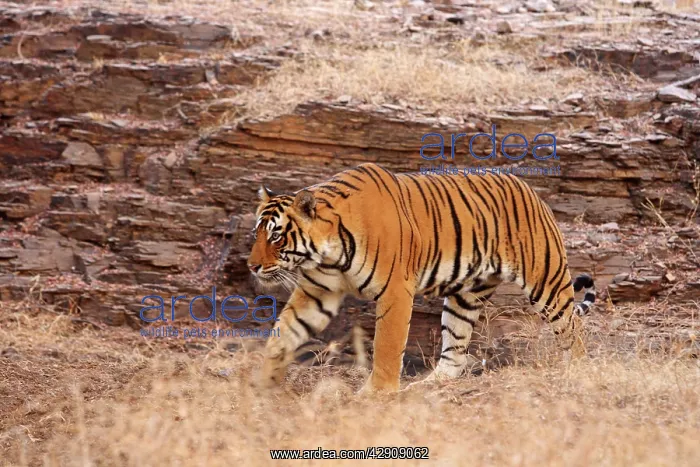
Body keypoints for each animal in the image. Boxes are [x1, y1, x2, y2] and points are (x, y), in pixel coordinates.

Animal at [247, 162, 596, 393]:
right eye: (257, 234)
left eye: (276, 236)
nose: (251, 266)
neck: (330, 254)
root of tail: (528, 187)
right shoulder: (318, 292)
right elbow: (283, 334)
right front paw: (262, 384)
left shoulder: (395, 292)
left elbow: (388, 346)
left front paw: (376, 394)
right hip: (465, 297)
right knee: (455, 351)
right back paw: (429, 385)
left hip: (546, 281)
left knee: (573, 329)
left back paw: (578, 372)